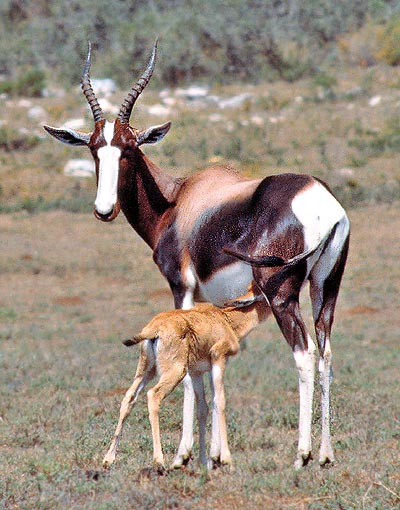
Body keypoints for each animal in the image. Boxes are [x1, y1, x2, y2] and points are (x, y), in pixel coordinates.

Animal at [44, 41, 350, 468]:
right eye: (94, 148)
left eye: (129, 149)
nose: (104, 210)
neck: (179, 199)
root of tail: (323, 203)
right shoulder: (208, 301)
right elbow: (206, 374)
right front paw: (210, 455)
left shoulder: (182, 289)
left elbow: (190, 375)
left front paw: (182, 455)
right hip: (326, 289)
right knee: (325, 353)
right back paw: (325, 455)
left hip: (281, 295)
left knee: (304, 354)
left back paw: (301, 455)